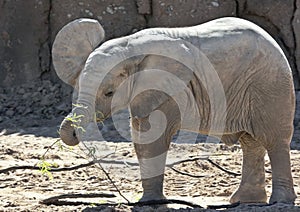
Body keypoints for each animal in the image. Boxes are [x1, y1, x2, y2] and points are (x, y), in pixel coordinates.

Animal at [52, 17, 296, 204]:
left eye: (109, 93)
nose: (73, 133)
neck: (129, 47)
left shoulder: (167, 88)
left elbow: (152, 138)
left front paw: (150, 203)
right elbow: (141, 136)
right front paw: (149, 201)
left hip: (270, 86)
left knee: (274, 140)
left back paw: (280, 201)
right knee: (251, 142)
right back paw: (245, 201)